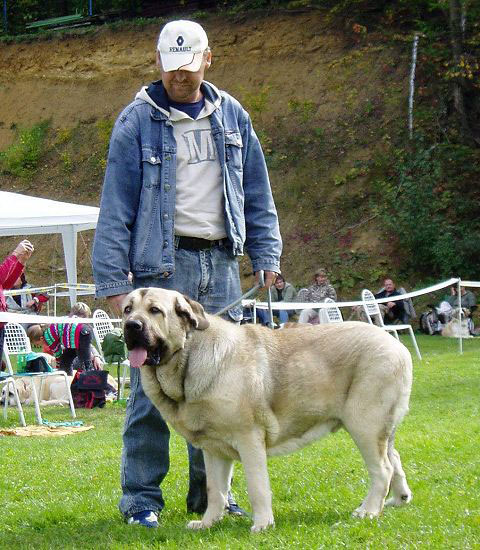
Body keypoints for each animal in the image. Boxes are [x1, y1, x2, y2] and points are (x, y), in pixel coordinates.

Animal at [124, 288, 412, 536]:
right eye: (127, 309)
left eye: (155, 310)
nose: (131, 325)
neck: (187, 360)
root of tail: (397, 347)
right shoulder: (213, 449)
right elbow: (215, 489)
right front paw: (208, 523)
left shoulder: (249, 438)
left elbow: (257, 486)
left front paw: (262, 525)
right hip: (381, 427)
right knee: (394, 458)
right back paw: (398, 499)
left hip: (364, 423)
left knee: (382, 469)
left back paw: (368, 511)